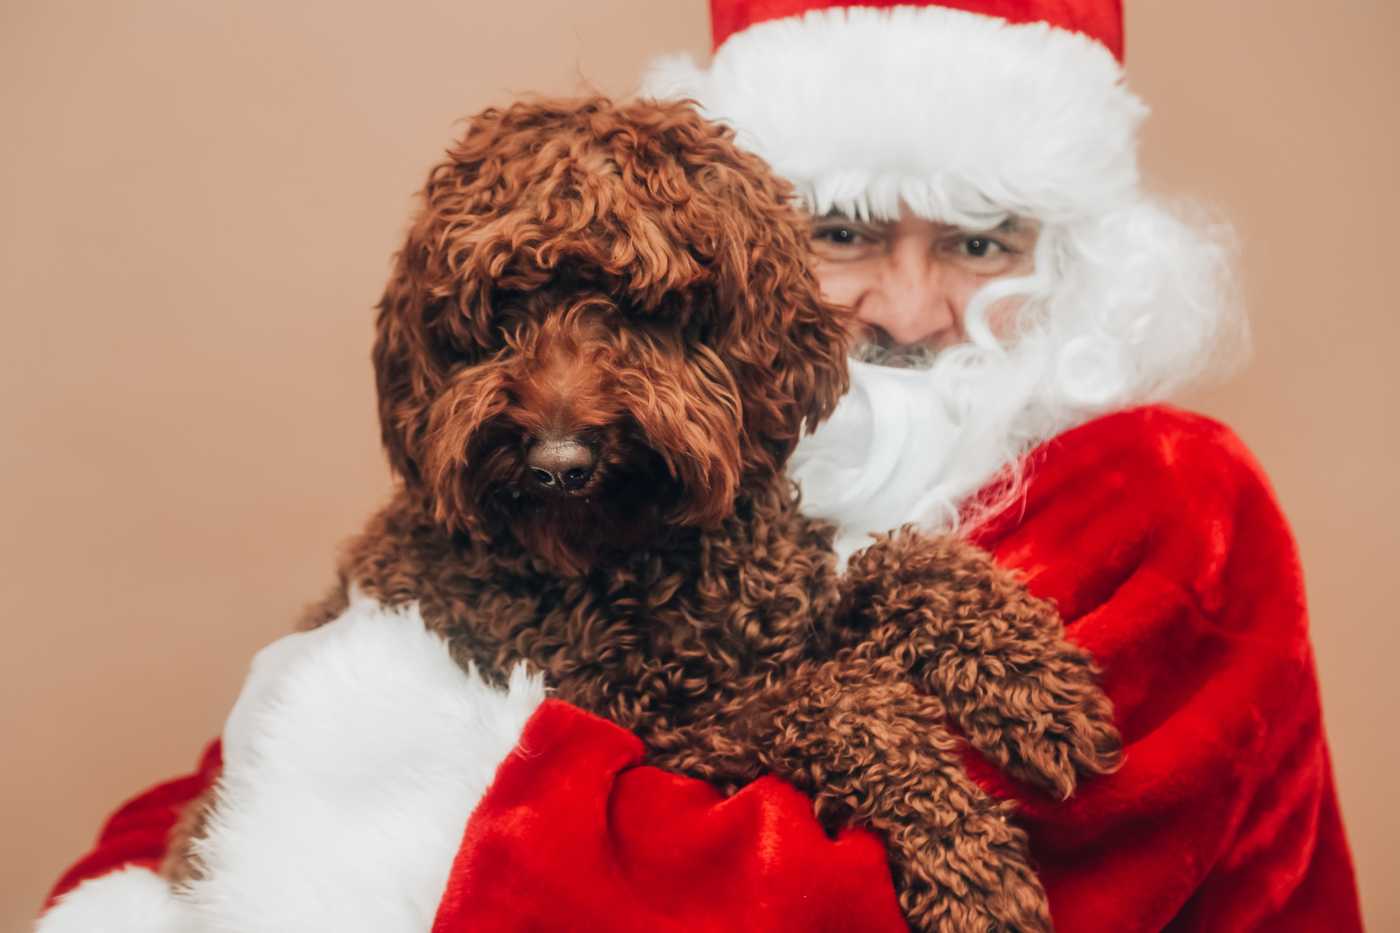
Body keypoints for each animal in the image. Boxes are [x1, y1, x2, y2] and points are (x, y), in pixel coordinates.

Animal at [169, 98, 1120, 924]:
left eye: (641, 304)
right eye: (501, 310)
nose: (558, 463)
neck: (643, 558)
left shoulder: (783, 611)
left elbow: (898, 563)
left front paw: (1029, 676)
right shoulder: (660, 732)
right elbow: (834, 698)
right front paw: (965, 853)